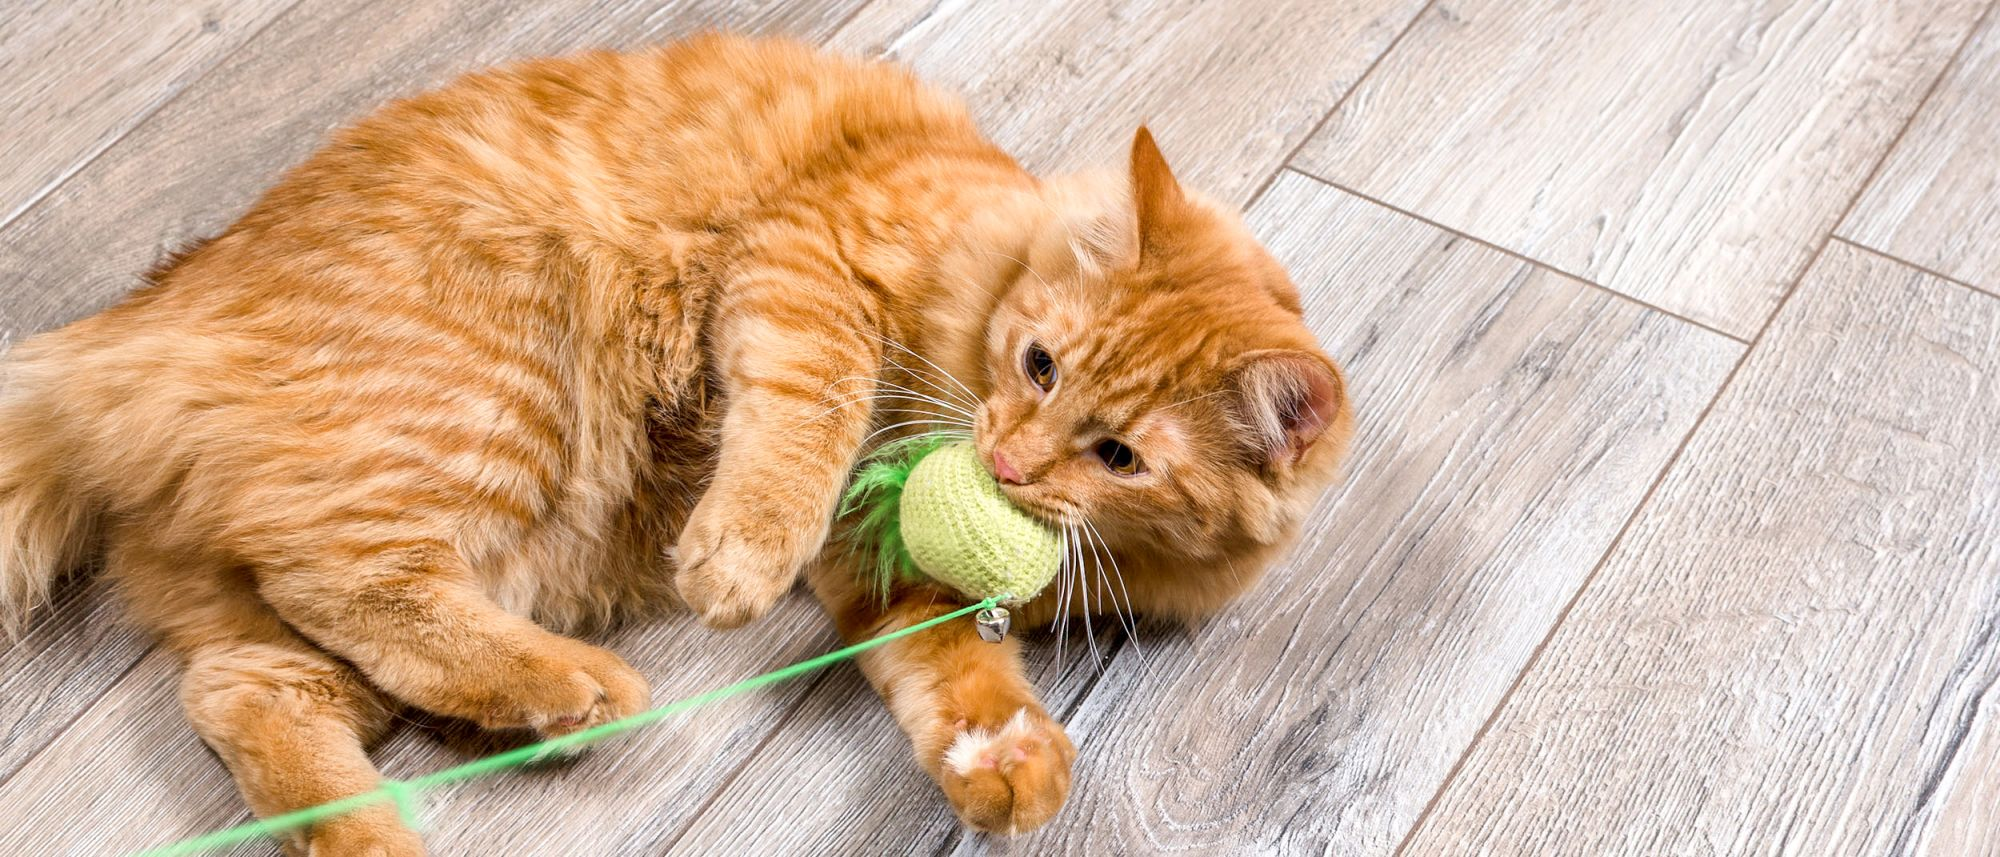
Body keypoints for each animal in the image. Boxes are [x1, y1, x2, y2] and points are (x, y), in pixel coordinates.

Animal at [0, 31, 1352, 848]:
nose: (1008, 461)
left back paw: (399, 816)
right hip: (492, 406)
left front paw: (1003, 754)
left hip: (372, 573)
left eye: (1118, 458)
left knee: (247, 686)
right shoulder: (808, 264)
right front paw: (737, 554)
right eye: (1038, 365)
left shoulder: (883, 576)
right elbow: (805, 418)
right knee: (345, 584)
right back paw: (576, 692)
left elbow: (951, 672)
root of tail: (139, 322)